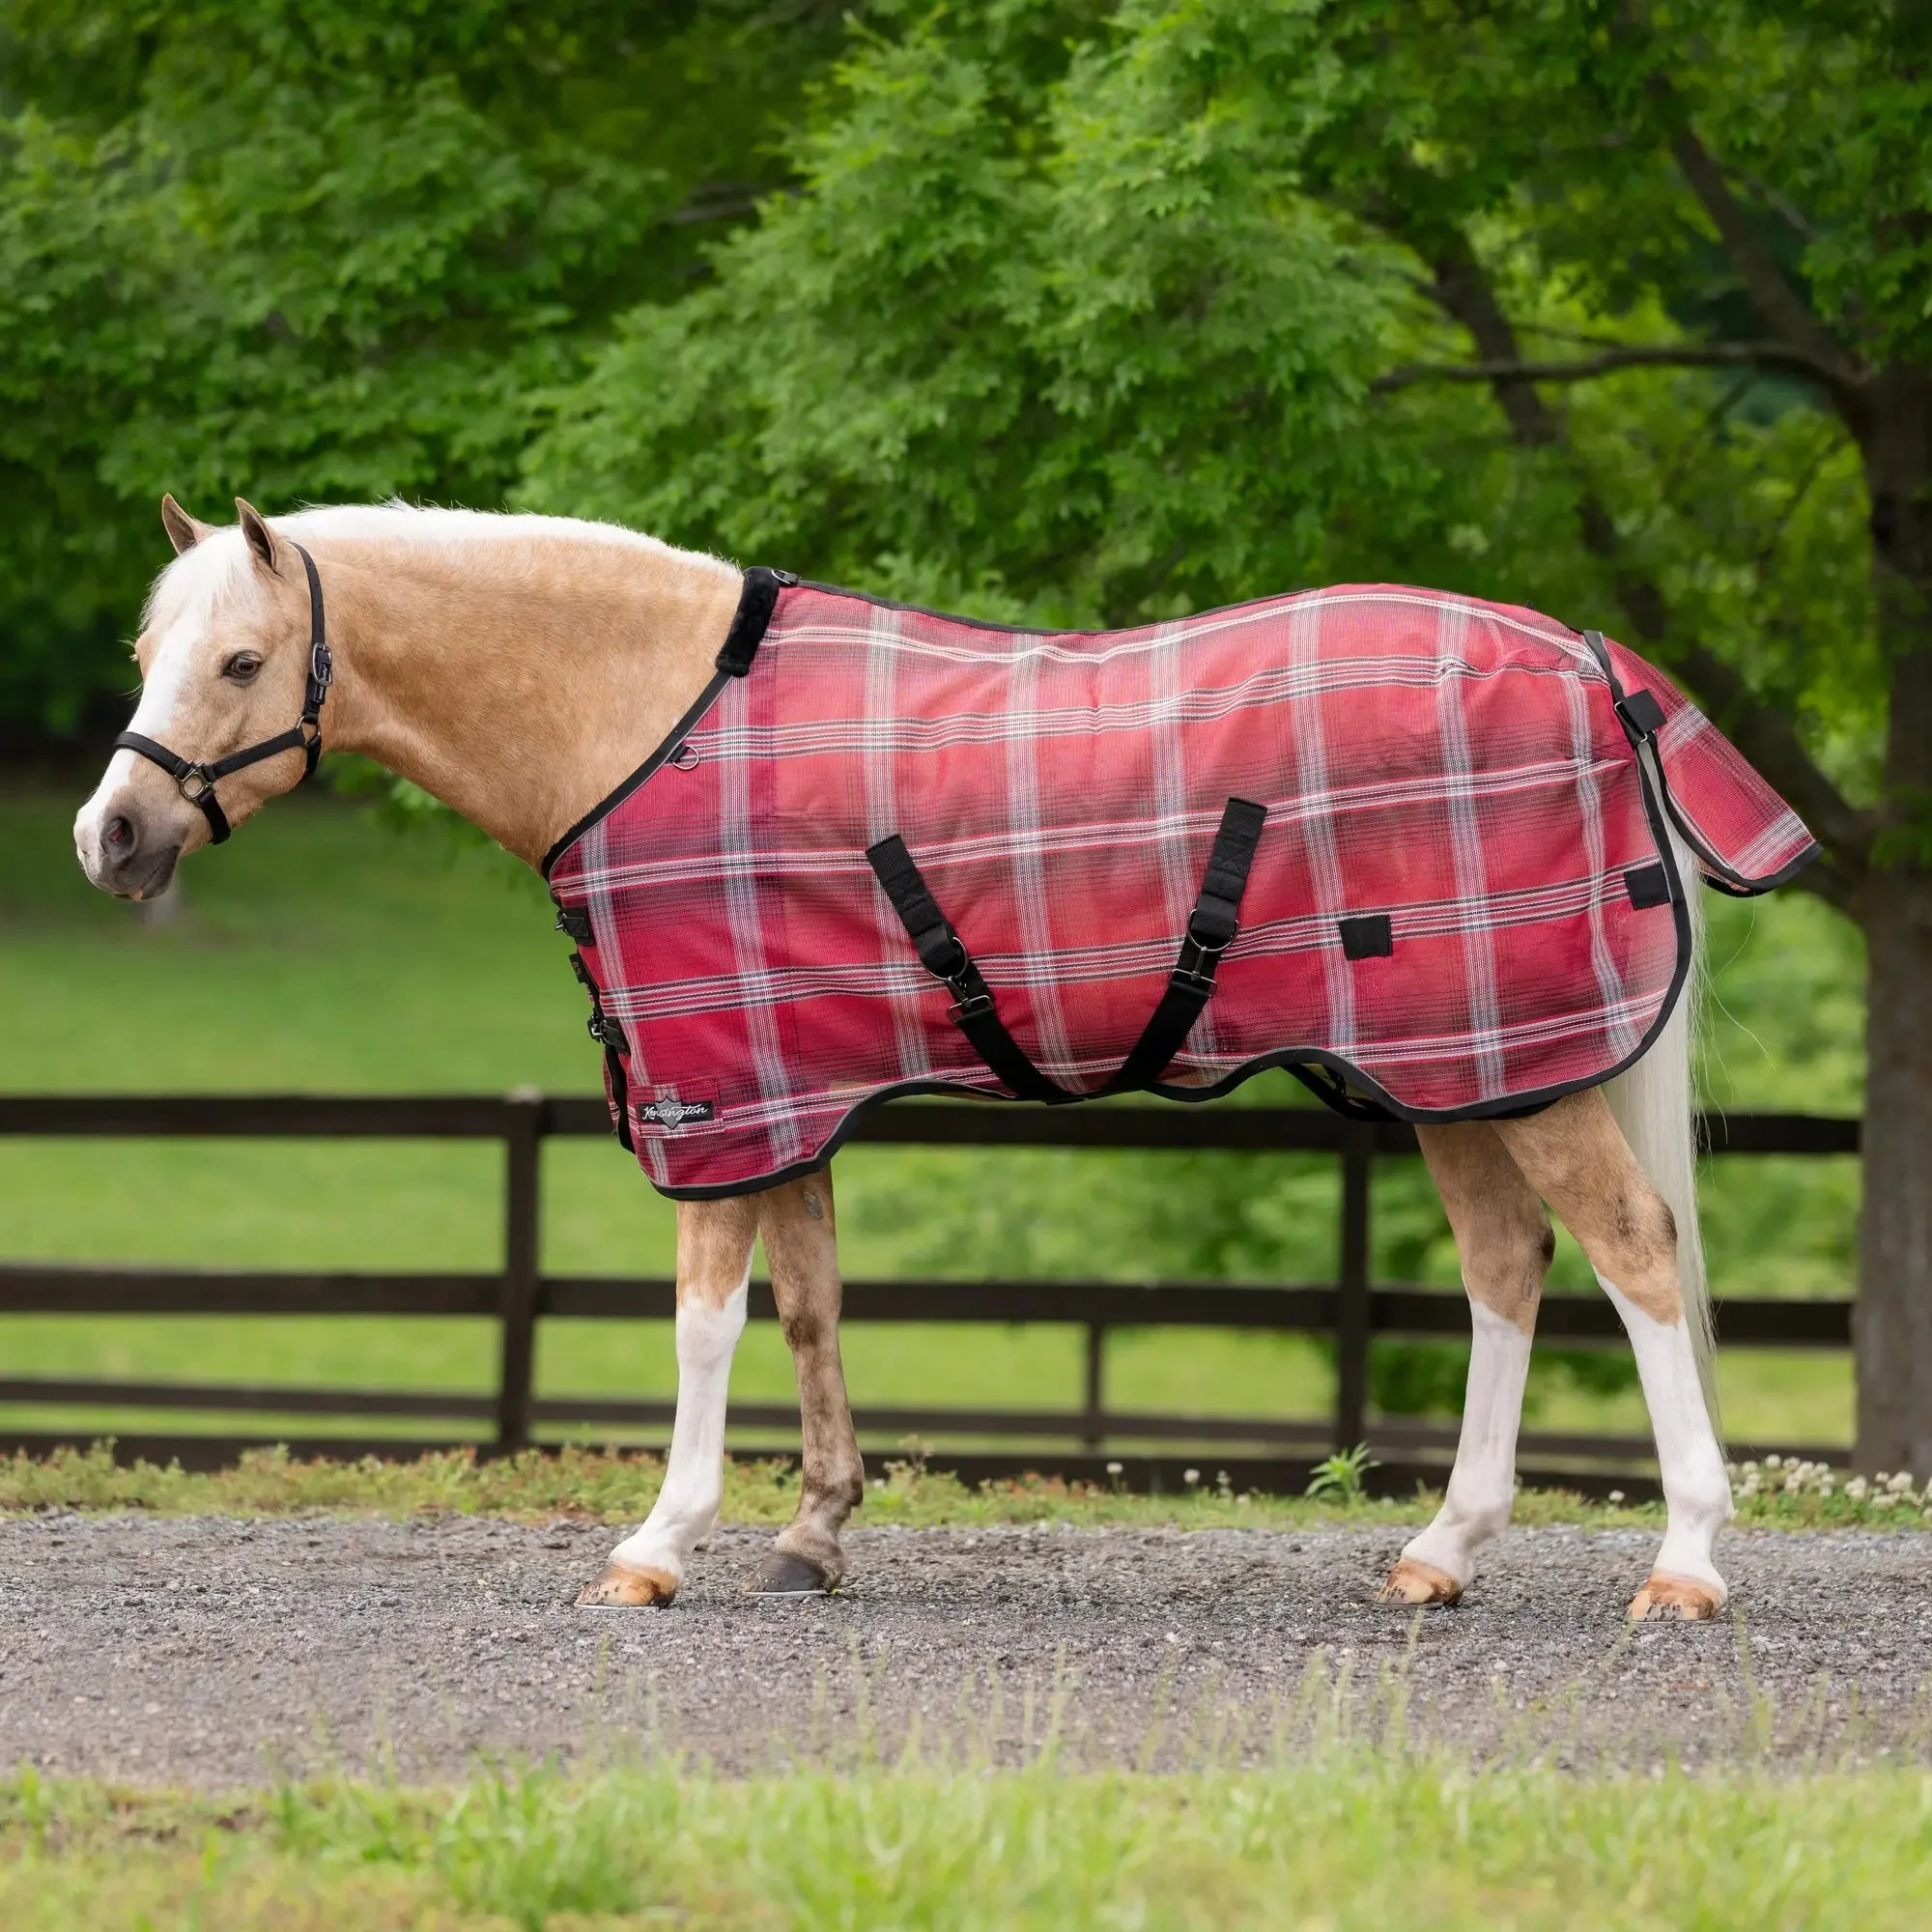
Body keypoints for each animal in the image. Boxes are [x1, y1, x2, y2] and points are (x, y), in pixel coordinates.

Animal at [75, 495, 1807, 1621]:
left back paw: (1687, 1564)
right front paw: (815, 1534)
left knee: (1634, 1253)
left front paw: (659, 1541)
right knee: (1508, 1266)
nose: (112, 839)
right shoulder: (789, 1092)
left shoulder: (716, 1093)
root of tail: (1590, 659)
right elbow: (811, 1307)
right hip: (1462, 1071)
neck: (640, 719)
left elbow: (704, 1323)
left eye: (242, 663)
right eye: (150, 647)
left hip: (1518, 1073)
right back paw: (1442, 1552)